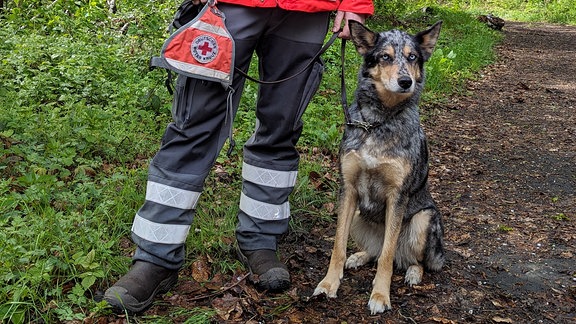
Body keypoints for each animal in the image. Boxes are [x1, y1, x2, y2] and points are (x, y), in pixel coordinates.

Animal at [316, 20, 446, 314]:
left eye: (413, 57)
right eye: (385, 57)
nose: (406, 82)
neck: (378, 122)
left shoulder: (397, 196)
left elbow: (387, 257)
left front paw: (380, 295)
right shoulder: (348, 190)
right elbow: (338, 246)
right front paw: (329, 283)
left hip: (424, 220)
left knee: (409, 258)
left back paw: (413, 273)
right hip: (356, 215)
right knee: (375, 250)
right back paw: (359, 256)